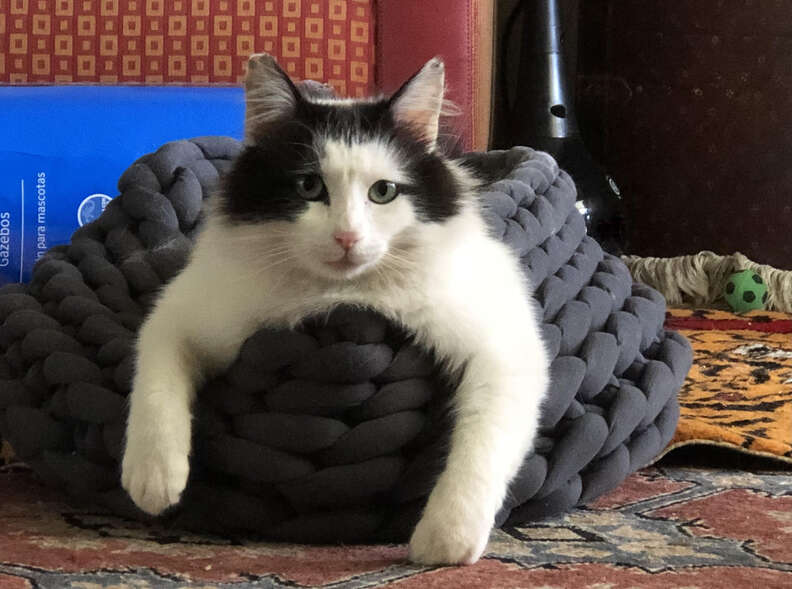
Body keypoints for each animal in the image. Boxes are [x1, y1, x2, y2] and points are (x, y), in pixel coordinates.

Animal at [120, 55, 548, 564]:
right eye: (309, 186)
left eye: (383, 192)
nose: (347, 237)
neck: (340, 294)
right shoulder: (178, 314)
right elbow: (155, 389)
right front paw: (153, 478)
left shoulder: (506, 347)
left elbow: (480, 448)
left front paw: (446, 539)